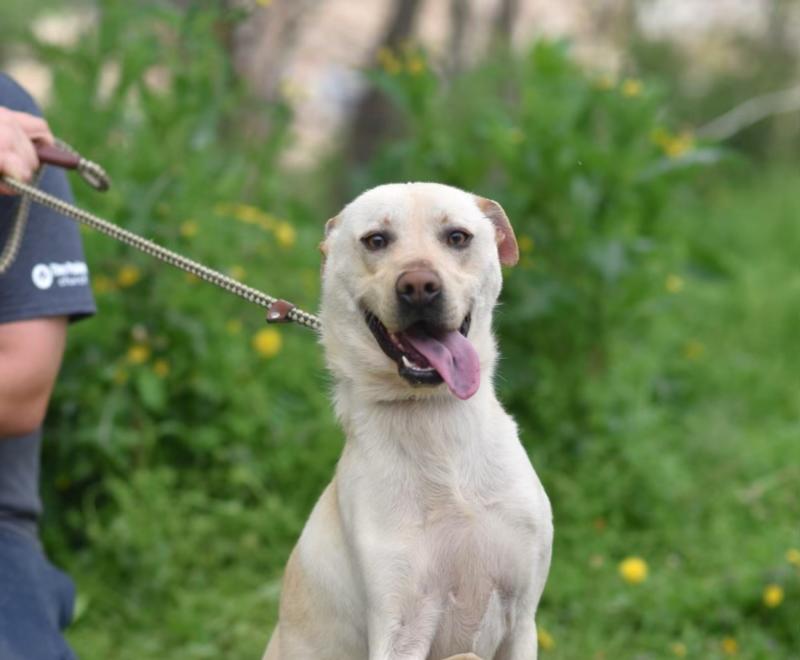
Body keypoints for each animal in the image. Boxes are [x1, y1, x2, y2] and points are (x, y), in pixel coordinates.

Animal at [266, 182, 552, 660]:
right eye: (376, 240)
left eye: (457, 237)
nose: (419, 286)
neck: (434, 421)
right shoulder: (399, 630)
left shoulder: (521, 621)